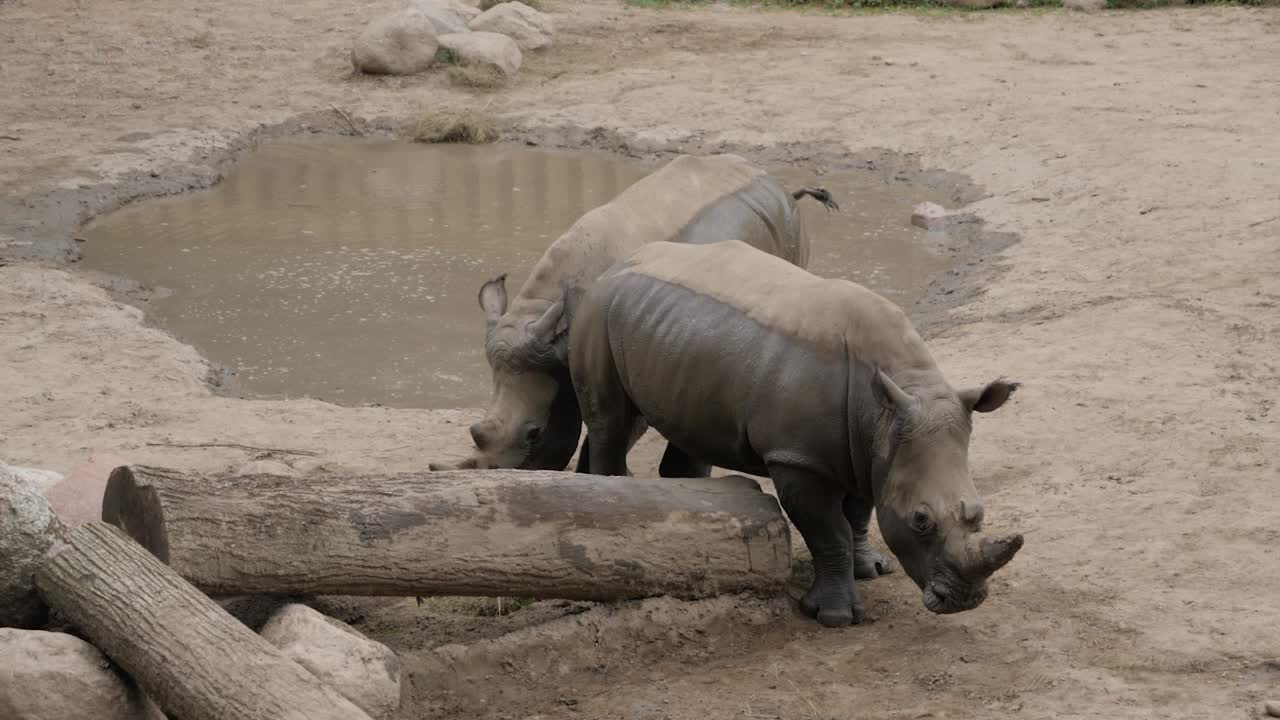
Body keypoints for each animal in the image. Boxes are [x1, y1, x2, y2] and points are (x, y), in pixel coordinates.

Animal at [568, 239, 1024, 627]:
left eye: (978, 512)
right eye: (921, 520)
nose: (964, 601)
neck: (884, 411)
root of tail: (617, 263)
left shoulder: (867, 452)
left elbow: (858, 515)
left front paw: (871, 570)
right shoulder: (800, 459)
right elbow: (830, 531)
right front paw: (834, 617)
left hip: (672, 333)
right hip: (597, 310)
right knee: (611, 423)